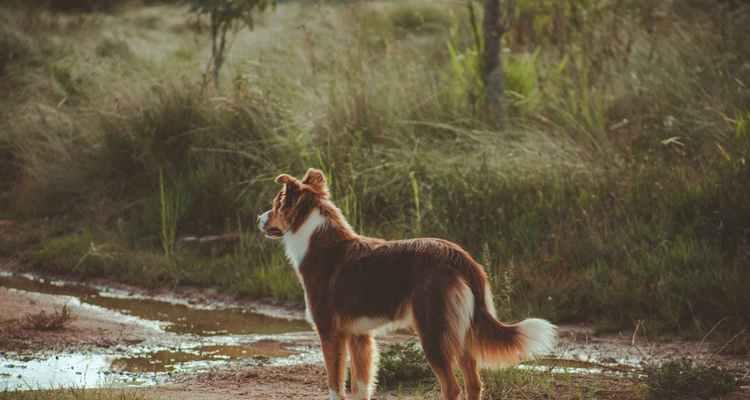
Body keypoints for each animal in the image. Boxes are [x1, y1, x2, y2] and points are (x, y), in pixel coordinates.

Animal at [258, 169, 560, 400]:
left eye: (275, 204)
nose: (258, 219)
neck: (315, 238)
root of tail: (458, 256)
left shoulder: (331, 333)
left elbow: (335, 385)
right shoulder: (359, 336)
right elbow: (361, 388)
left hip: (433, 331)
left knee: (452, 388)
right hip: (461, 331)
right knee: (474, 385)